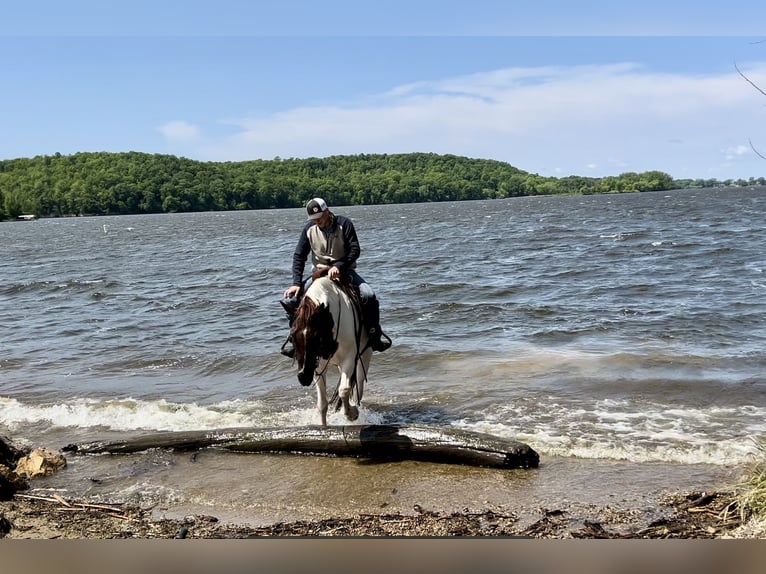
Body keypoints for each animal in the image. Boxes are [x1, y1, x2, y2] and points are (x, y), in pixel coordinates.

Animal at [290, 274, 374, 428]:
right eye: (292, 337)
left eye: (316, 337)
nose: (303, 377)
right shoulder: (317, 367)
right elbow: (322, 404)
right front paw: (324, 427)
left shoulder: (349, 359)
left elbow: (344, 390)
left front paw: (352, 414)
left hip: (364, 358)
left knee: (357, 389)